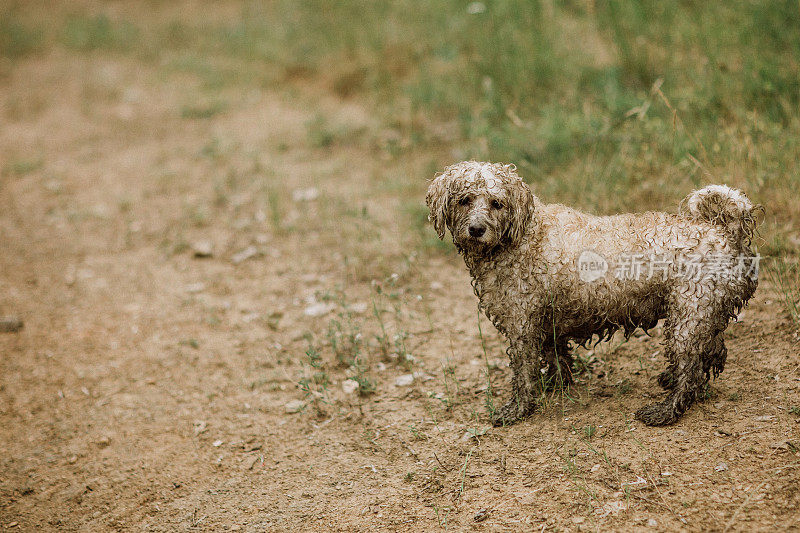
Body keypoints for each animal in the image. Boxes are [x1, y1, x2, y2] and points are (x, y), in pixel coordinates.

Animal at [428, 160, 760, 426]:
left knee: (691, 365)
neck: (522, 237)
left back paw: (666, 410)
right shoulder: (546, 319)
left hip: (689, 314)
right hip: (704, 311)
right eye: (465, 200)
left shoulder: (523, 321)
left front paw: (518, 409)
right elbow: (555, 357)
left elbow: (523, 371)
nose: (476, 229)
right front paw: (555, 386)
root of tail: (722, 231)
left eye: (496, 203)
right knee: (713, 351)